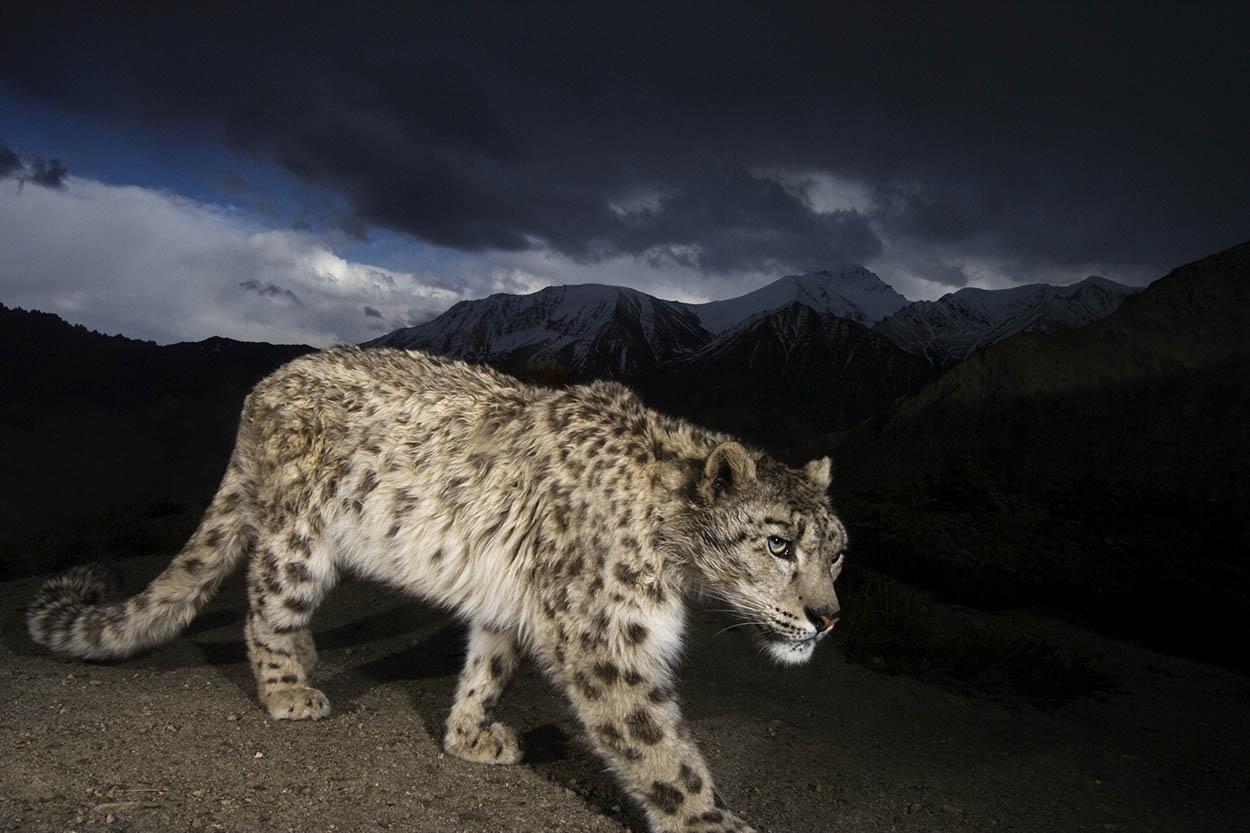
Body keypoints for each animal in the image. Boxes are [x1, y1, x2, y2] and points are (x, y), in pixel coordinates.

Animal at [26, 345, 850, 830]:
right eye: (779, 544)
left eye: (838, 553)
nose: (828, 618)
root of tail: (261, 388)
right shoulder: (605, 639)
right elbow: (660, 749)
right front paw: (714, 821)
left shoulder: (514, 602)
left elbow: (490, 663)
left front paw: (469, 733)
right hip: (300, 544)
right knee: (263, 605)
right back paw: (290, 688)